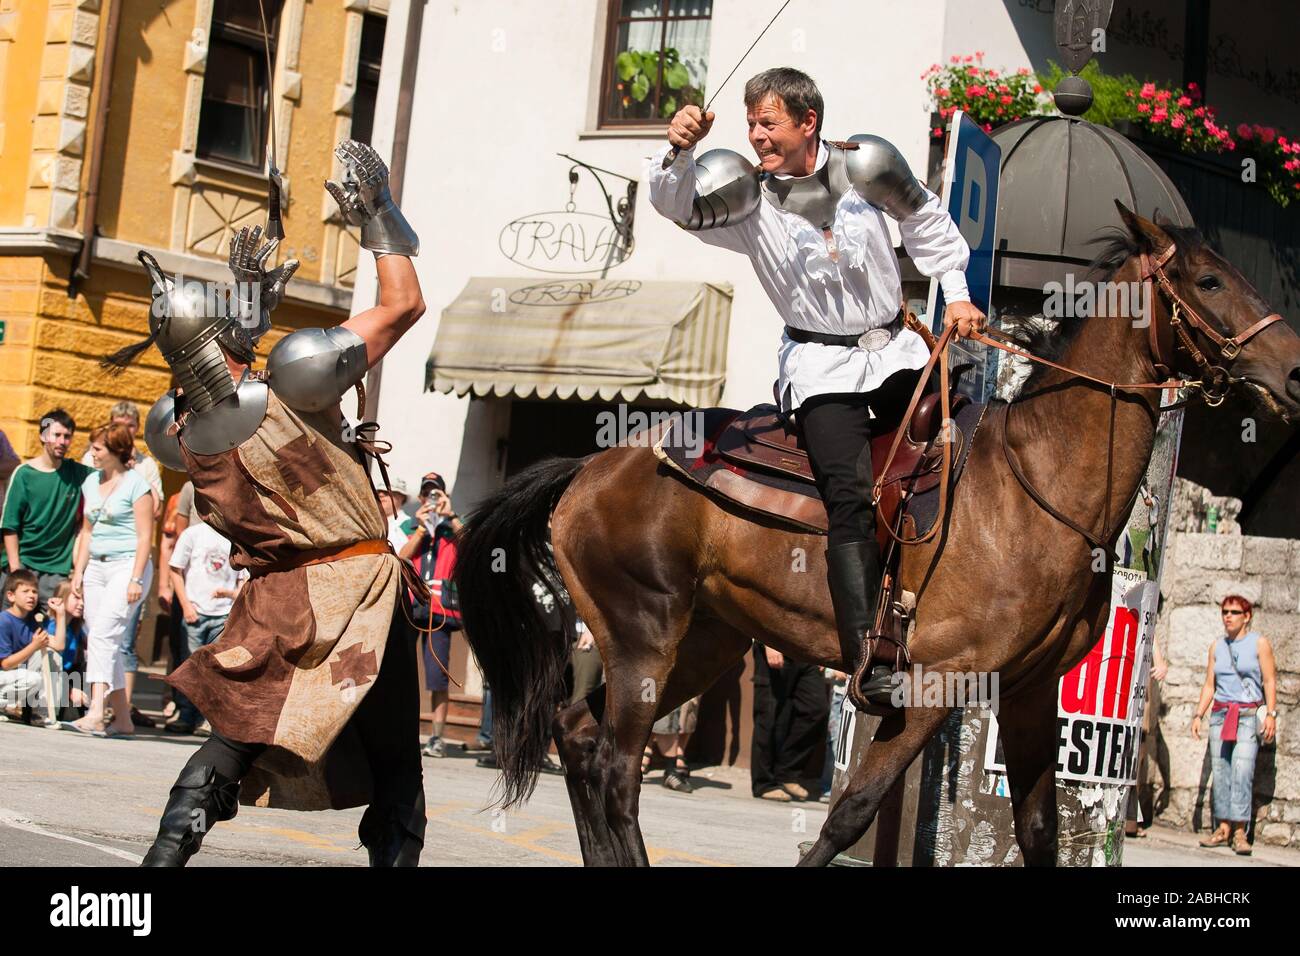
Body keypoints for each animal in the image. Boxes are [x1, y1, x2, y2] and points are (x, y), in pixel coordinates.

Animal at [454, 208, 1300, 868]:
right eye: (1210, 282)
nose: (1293, 372)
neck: (1035, 489)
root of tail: (589, 467)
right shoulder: (932, 687)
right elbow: (849, 813)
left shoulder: (1027, 694)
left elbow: (1037, 831)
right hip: (644, 638)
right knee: (615, 771)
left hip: (704, 641)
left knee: (578, 737)